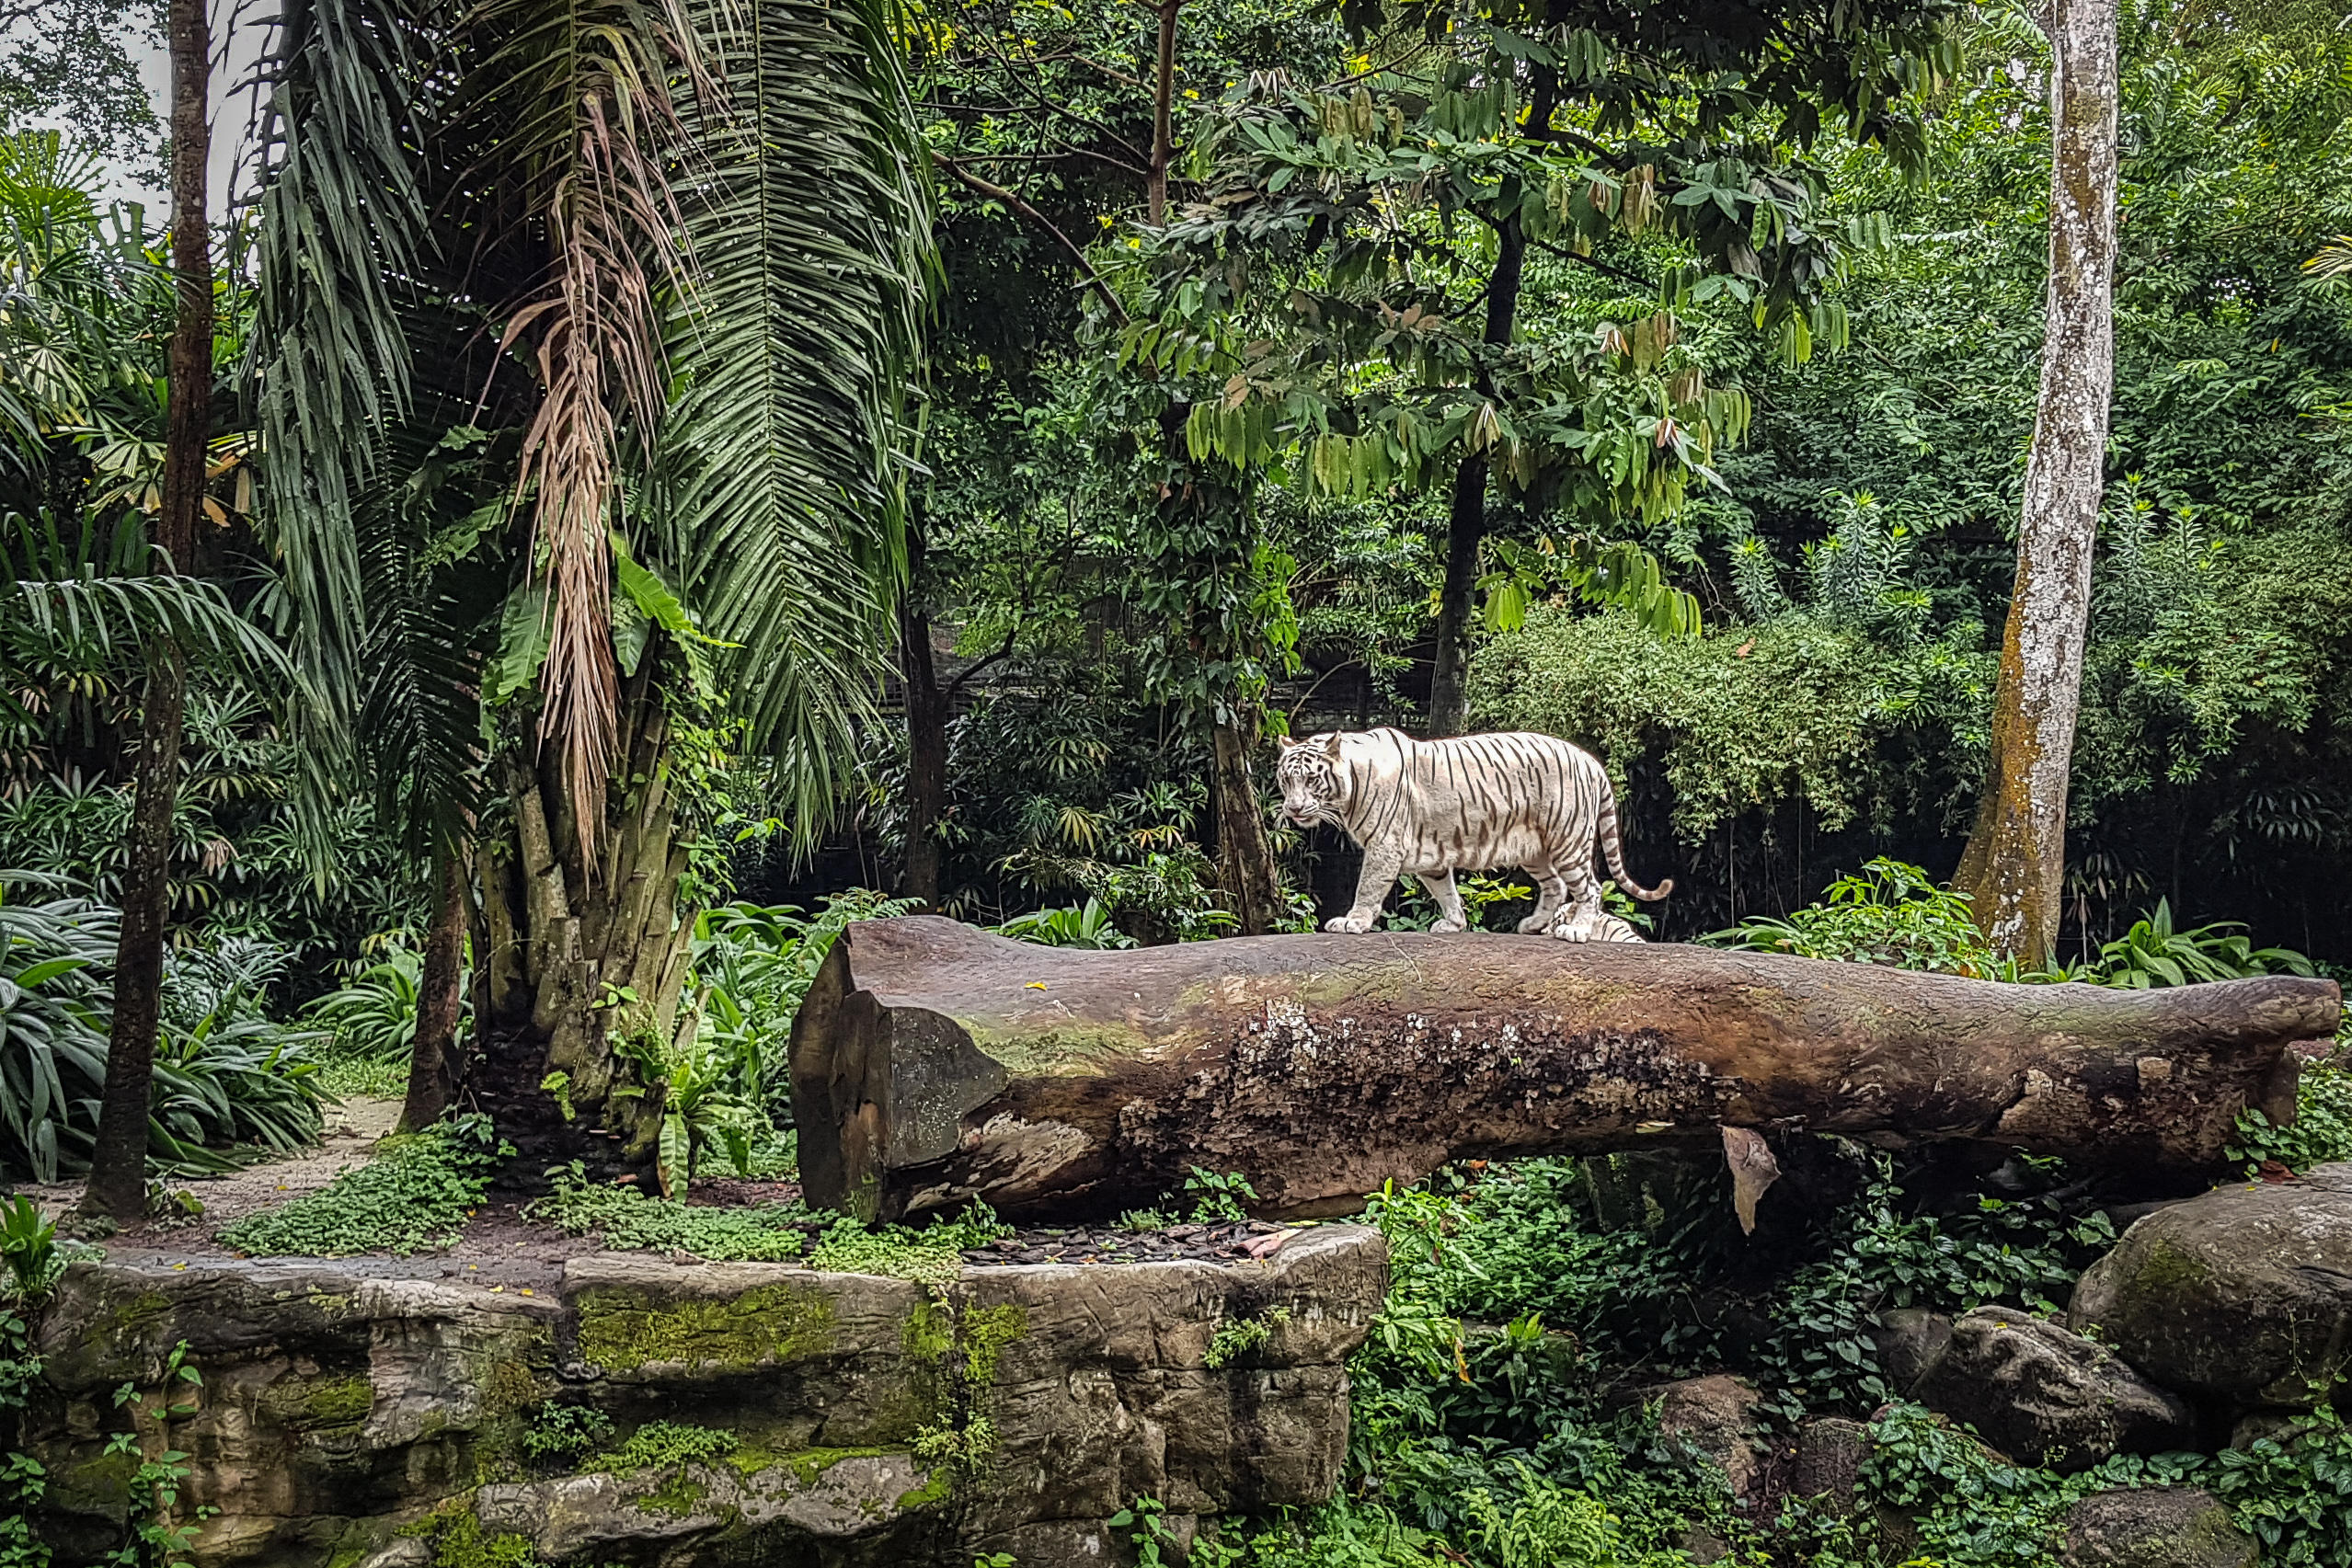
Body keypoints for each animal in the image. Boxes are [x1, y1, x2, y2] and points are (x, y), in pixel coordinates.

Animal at [1269, 728, 1674, 944]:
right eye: (1286, 780)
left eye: (1310, 779)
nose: (1293, 809)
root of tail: (1591, 761)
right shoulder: (1429, 857)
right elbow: (1446, 892)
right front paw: (1454, 925)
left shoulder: (1384, 845)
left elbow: (1367, 887)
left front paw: (1353, 922)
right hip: (1535, 849)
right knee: (1556, 886)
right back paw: (1534, 926)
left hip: (1567, 840)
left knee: (1589, 887)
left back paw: (1575, 930)